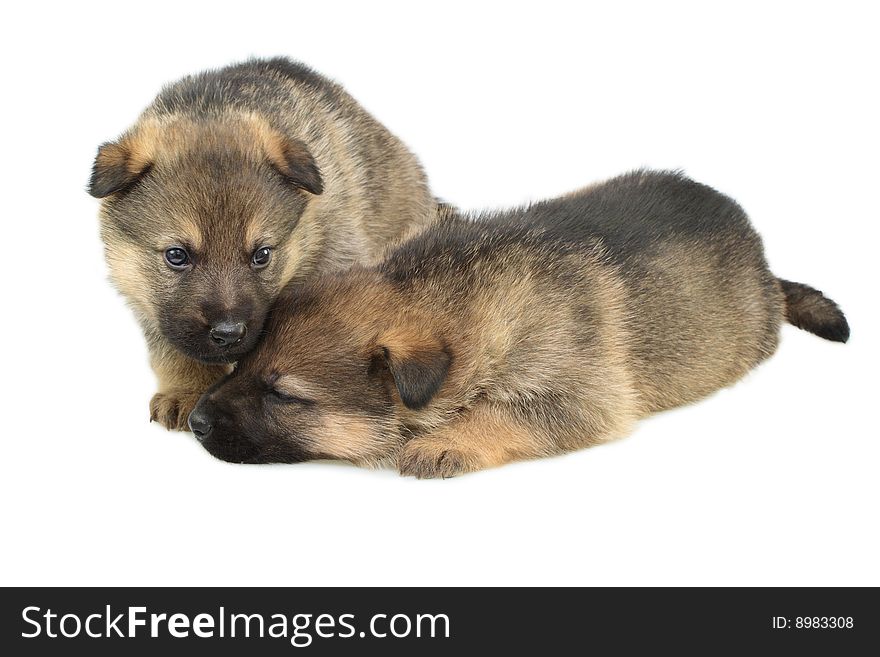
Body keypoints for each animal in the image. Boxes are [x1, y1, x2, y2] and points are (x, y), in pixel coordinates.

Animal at [87, 57, 434, 430]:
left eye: (262, 255)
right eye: (176, 255)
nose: (228, 333)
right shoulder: (147, 300)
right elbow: (172, 349)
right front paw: (188, 390)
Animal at [189, 169, 848, 476]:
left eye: (283, 395)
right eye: (241, 364)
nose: (194, 422)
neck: (450, 293)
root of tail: (765, 266)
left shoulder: (582, 395)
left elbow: (504, 412)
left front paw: (448, 440)